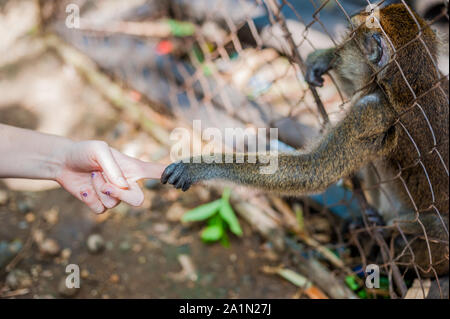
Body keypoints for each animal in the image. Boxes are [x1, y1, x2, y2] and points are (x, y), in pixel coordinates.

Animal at [163, 3, 450, 292]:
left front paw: (200, 167)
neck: (414, 85)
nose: (341, 47)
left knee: (417, 230)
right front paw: (325, 58)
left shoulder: (369, 111)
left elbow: (314, 171)